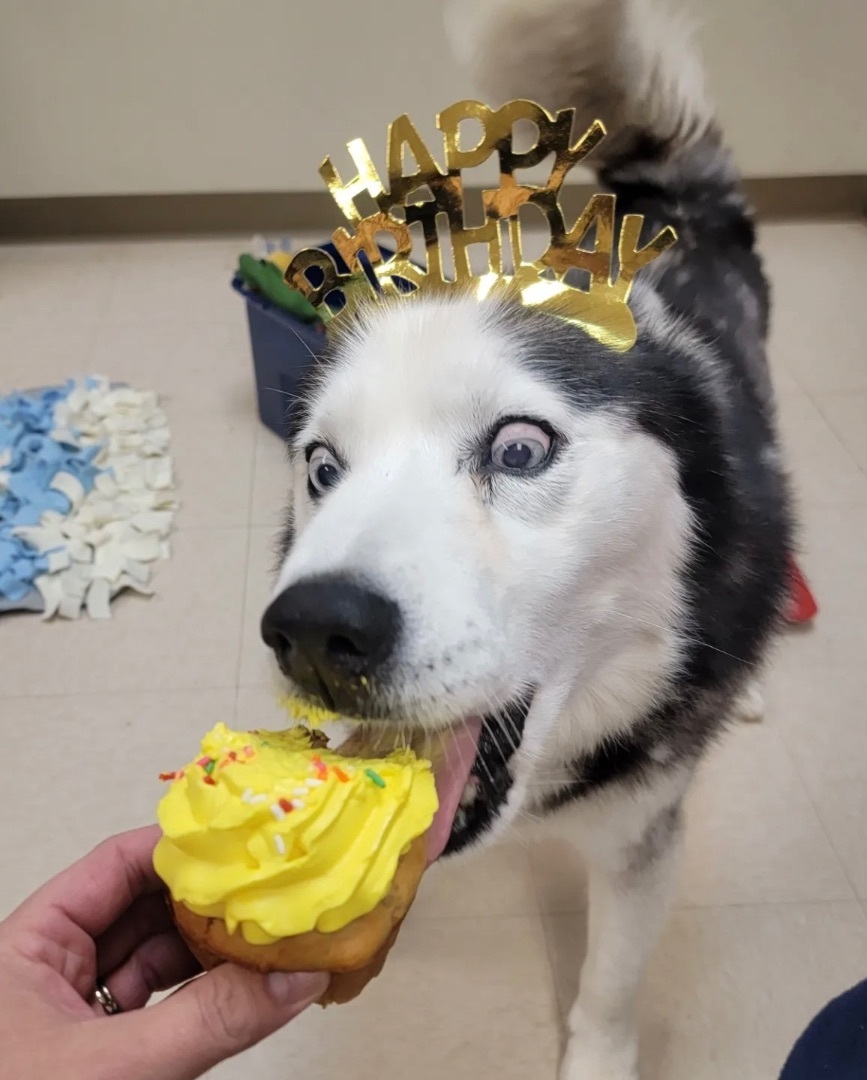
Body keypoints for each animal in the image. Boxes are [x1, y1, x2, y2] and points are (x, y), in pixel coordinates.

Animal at [259, 4, 794, 1075]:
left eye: (519, 447)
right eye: (323, 466)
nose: (314, 630)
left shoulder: (642, 829)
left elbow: (610, 984)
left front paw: (596, 1057)